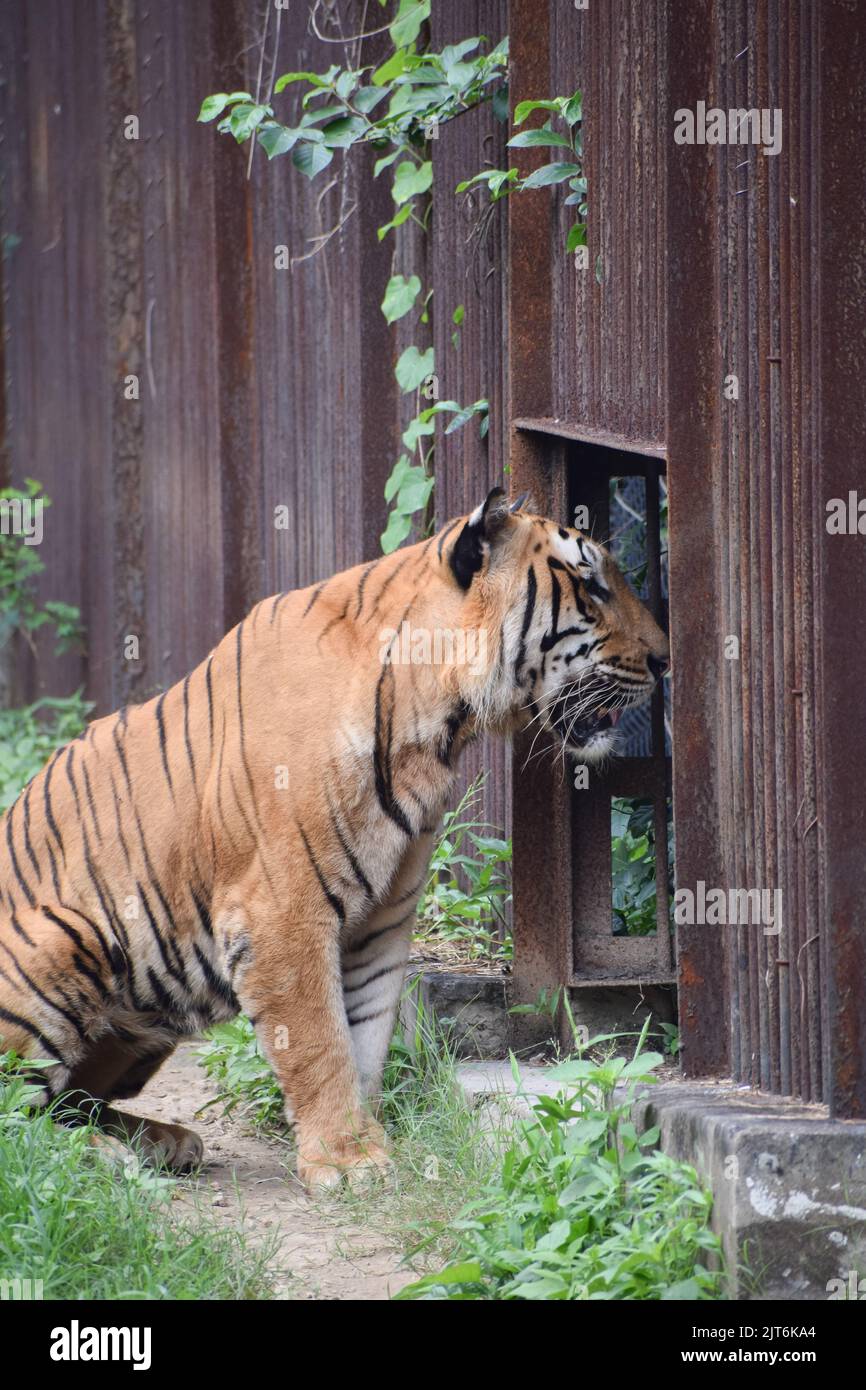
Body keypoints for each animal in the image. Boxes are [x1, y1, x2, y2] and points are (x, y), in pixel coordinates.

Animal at [0, 489, 670, 1184]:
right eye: (591, 585)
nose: (664, 658)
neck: (434, 727)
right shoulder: (282, 914)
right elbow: (319, 1042)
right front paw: (348, 1160)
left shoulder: (381, 919)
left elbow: (365, 1038)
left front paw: (370, 1145)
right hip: (69, 936)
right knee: (18, 1121)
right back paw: (106, 1155)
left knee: (70, 1100)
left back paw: (160, 1141)